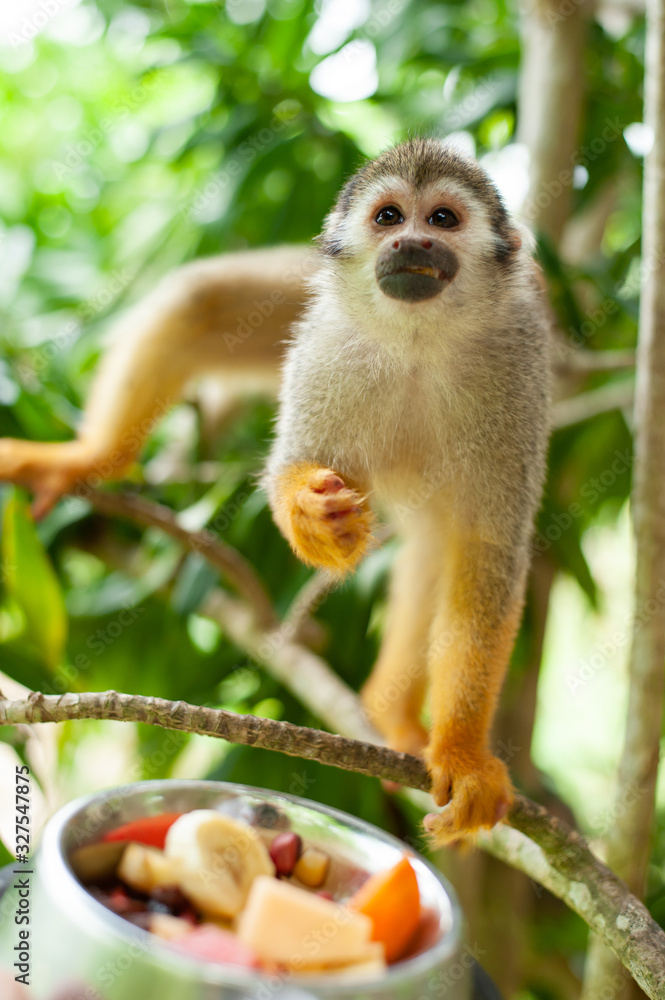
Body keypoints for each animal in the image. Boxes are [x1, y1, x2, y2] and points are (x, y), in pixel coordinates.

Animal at [0, 138, 551, 842]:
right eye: (389, 217)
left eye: (443, 220)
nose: (412, 243)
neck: (418, 339)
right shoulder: (326, 342)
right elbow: (295, 465)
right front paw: (316, 518)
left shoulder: (519, 370)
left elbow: (487, 551)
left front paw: (461, 756)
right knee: (203, 298)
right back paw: (88, 459)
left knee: (437, 539)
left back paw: (390, 714)